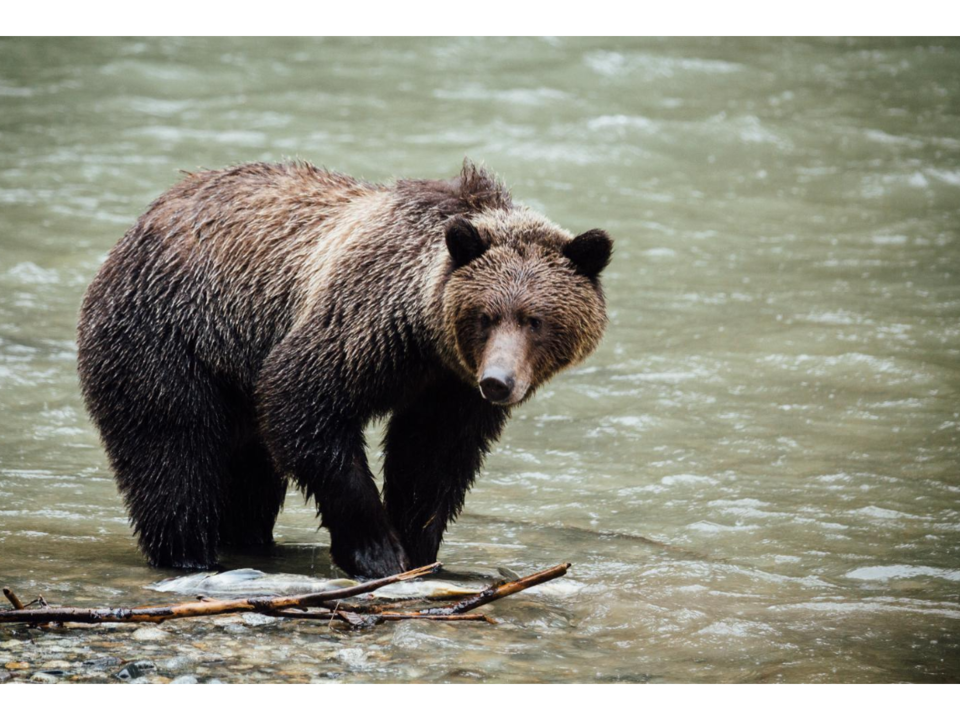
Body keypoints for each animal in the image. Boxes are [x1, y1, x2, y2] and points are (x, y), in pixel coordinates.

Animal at [77, 159, 612, 578]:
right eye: (485, 315)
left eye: (535, 319)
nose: (498, 382)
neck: (426, 339)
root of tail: (143, 219)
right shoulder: (362, 321)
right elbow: (303, 403)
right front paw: (378, 553)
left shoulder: (448, 388)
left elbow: (432, 457)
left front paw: (420, 547)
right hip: (171, 337)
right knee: (173, 452)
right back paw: (190, 553)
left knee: (248, 474)